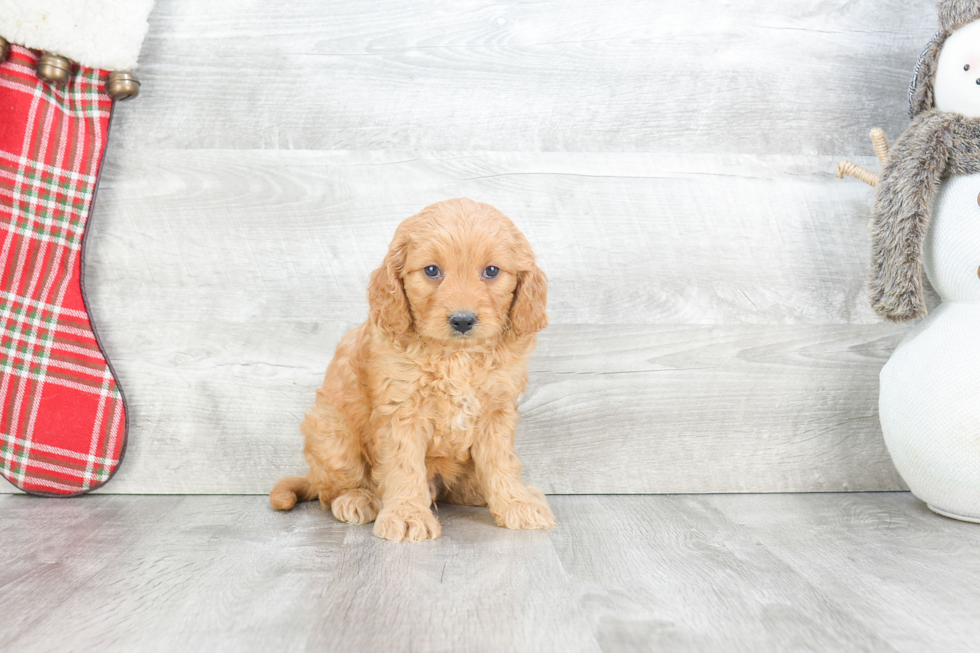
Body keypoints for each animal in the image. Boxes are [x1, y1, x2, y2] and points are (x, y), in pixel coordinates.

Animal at [272, 197, 556, 540]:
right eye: (432, 270)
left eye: (491, 271)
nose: (462, 320)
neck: (456, 356)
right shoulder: (402, 410)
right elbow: (403, 465)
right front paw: (407, 514)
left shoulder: (497, 411)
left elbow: (502, 462)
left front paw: (516, 503)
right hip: (331, 432)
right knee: (333, 489)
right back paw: (357, 499)